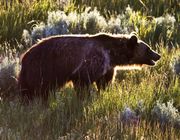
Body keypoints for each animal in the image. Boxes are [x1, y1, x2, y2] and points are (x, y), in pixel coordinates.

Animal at [18, 32, 161, 103]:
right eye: (148, 48)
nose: (158, 55)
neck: (112, 54)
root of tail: (24, 57)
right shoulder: (93, 61)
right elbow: (83, 82)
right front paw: (84, 98)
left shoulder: (108, 67)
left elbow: (104, 82)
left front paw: (104, 92)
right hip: (42, 69)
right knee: (37, 90)